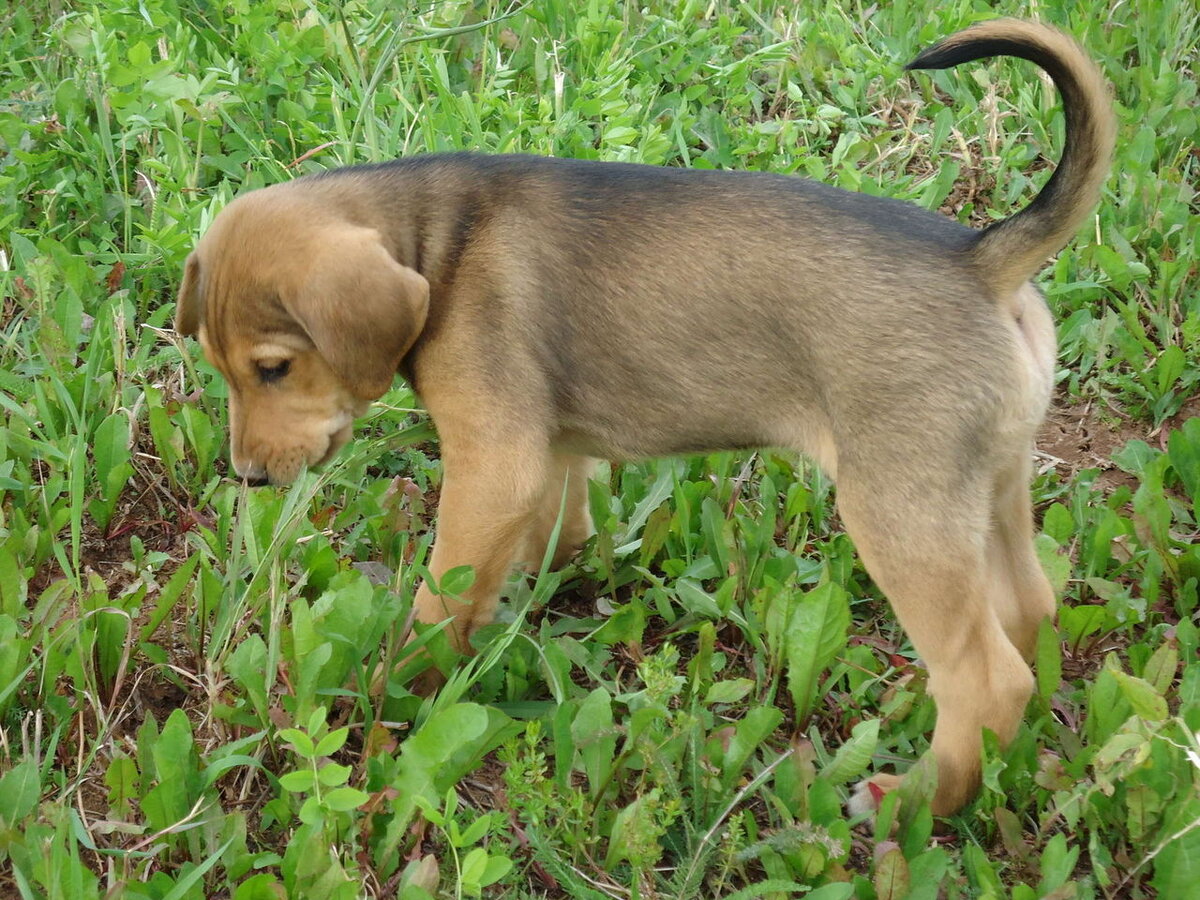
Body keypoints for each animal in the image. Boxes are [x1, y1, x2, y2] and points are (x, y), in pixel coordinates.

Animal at [175, 19, 1113, 816]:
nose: (248, 479)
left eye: (273, 368)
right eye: (220, 368)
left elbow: (442, 600)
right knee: (1024, 616)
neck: (439, 244)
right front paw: (531, 605)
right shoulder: (551, 458)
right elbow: (549, 542)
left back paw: (914, 800)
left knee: (989, 676)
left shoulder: (494, 461)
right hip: (988, 489)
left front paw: (392, 701)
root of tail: (981, 261)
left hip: (898, 511)